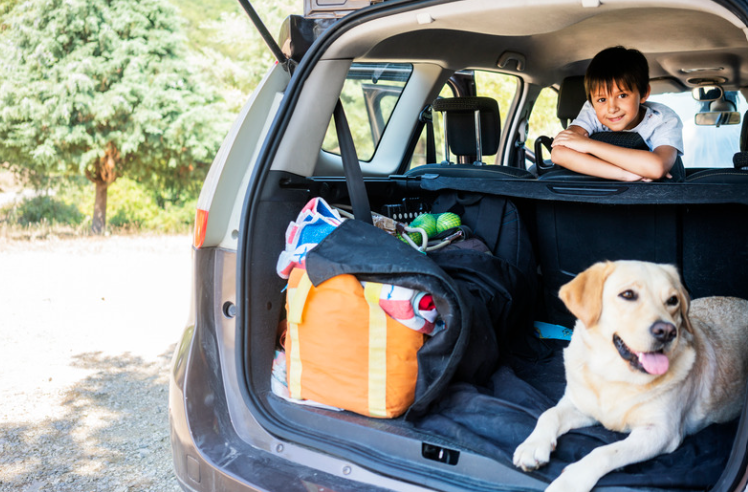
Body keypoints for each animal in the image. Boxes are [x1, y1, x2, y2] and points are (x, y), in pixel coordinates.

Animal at [512, 262, 748, 492]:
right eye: (627, 294)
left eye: (672, 300)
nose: (667, 331)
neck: (615, 376)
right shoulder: (580, 406)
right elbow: (549, 413)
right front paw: (533, 446)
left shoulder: (661, 433)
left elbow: (605, 452)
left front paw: (570, 481)